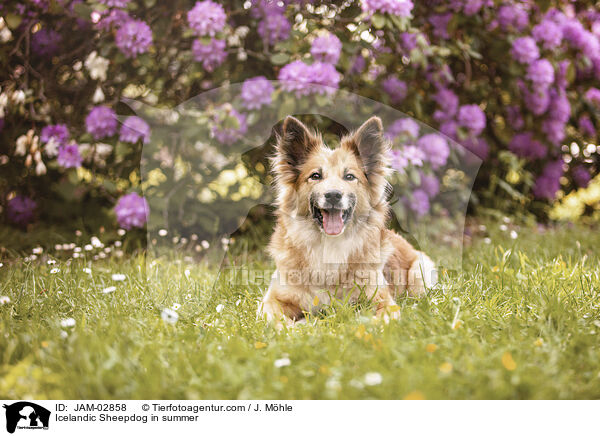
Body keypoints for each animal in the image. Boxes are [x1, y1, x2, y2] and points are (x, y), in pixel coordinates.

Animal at [258, 116, 436, 328]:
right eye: (315, 176)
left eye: (349, 176)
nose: (333, 195)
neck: (329, 246)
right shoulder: (271, 301)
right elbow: (277, 321)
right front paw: (299, 327)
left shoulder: (383, 301)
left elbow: (372, 320)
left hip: (420, 271)